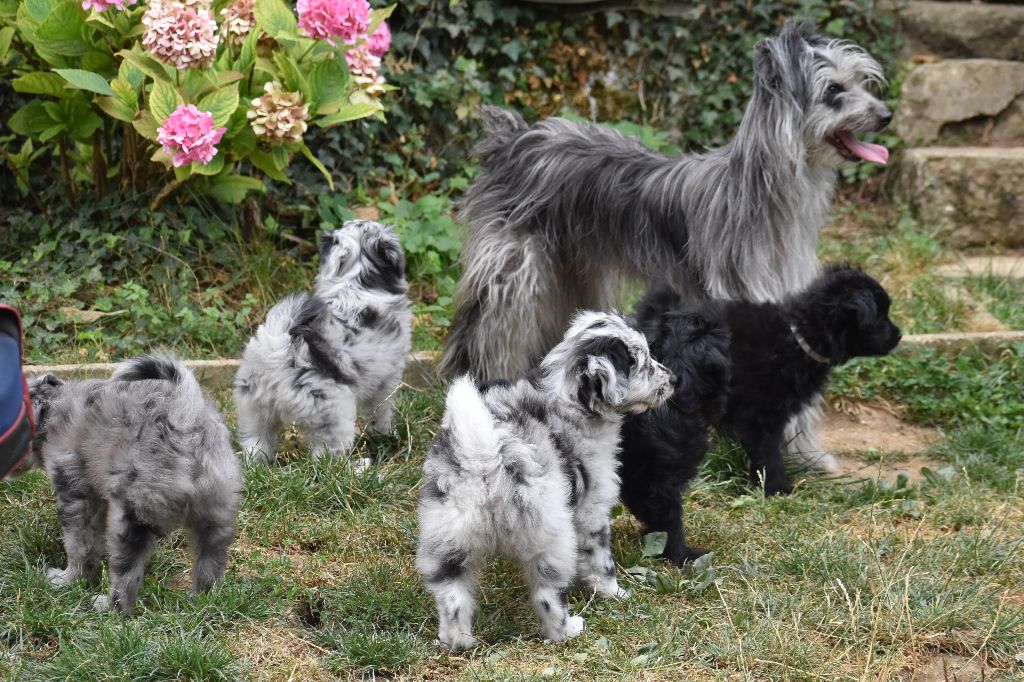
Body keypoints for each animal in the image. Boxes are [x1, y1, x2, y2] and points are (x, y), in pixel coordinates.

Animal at [27, 352, 240, 614]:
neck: (53, 406)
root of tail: (184, 417)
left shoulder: (75, 494)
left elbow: (80, 547)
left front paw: (67, 581)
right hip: (216, 513)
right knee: (211, 563)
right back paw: (201, 602)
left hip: (131, 516)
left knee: (126, 575)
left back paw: (109, 608)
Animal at [235, 218, 411, 466]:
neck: (356, 284)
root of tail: (280, 351)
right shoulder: (386, 380)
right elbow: (381, 412)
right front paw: (386, 435)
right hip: (332, 414)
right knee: (326, 461)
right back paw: (358, 467)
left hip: (254, 410)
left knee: (256, 446)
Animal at [415, 307, 671, 647]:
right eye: (643, 363)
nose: (674, 380)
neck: (568, 399)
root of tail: (485, 459)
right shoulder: (592, 510)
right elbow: (601, 561)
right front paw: (614, 593)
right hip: (552, 539)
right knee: (547, 596)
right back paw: (567, 629)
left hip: (447, 538)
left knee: (452, 598)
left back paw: (457, 642)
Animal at [444, 21, 892, 475]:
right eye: (834, 90)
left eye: (861, 81)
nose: (886, 115)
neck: (761, 197)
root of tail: (513, 136)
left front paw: (806, 452)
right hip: (513, 274)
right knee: (488, 334)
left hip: (571, 272)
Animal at [618, 262, 901, 561]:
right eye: (880, 316)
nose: (899, 335)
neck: (799, 334)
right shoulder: (761, 416)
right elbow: (768, 455)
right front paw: (778, 489)